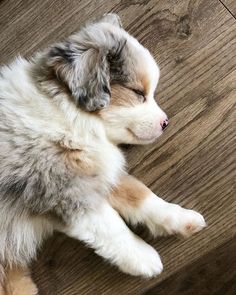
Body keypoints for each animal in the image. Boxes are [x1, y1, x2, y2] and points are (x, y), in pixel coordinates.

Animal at [0, 13, 206, 294]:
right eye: (138, 93)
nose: (166, 123)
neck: (64, 114)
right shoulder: (65, 190)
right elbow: (111, 226)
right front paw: (144, 257)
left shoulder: (97, 169)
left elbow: (140, 194)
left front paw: (181, 218)